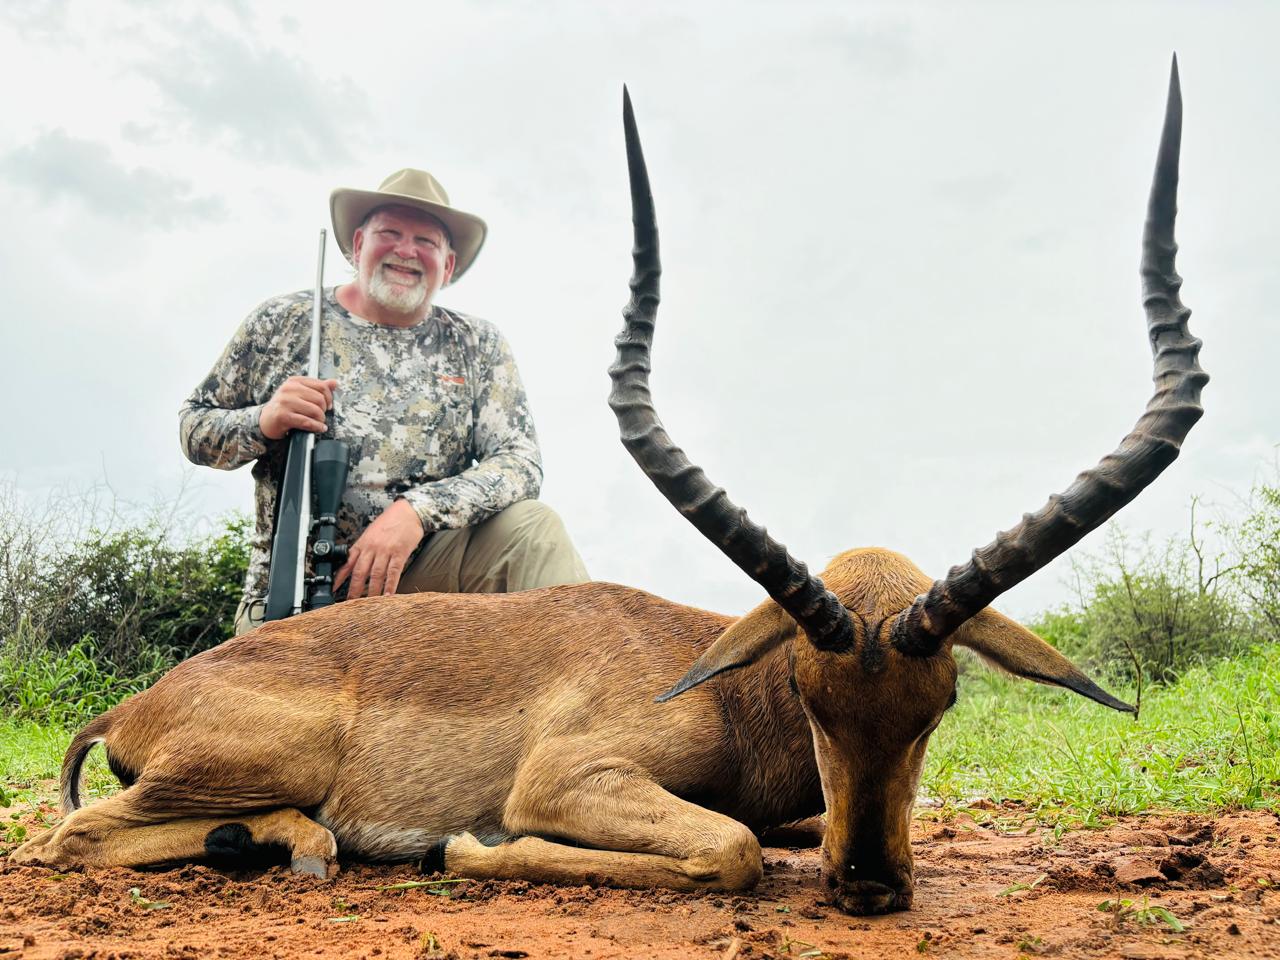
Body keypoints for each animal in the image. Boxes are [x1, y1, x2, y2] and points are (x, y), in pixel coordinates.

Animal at [12, 59, 1203, 916]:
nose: (868, 885)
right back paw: (296, 844)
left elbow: (771, 833)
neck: (720, 685)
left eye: (941, 701)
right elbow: (729, 848)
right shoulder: (568, 777)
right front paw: (463, 844)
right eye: (810, 694)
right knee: (78, 832)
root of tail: (140, 700)